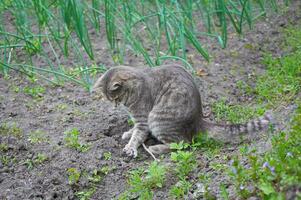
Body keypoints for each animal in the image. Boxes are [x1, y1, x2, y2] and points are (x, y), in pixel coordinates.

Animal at [92, 65, 272, 157]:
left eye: (115, 98)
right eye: (110, 100)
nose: (115, 107)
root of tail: (199, 120)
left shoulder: (143, 119)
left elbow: (138, 134)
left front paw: (130, 147)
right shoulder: (139, 121)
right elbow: (134, 130)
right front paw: (128, 133)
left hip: (158, 120)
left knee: (183, 143)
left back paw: (155, 149)